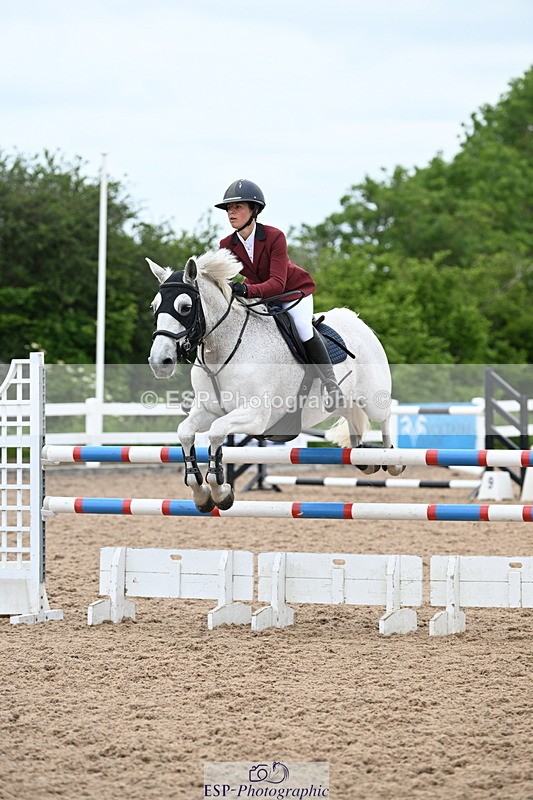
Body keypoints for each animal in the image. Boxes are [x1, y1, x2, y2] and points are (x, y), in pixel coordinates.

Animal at [147, 248, 403, 513]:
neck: (222, 352)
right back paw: (363, 458)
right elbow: (185, 432)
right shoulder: (209, 409)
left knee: (384, 418)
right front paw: (201, 494)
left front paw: (220, 491)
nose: (159, 361)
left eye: (185, 307)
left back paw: (391, 460)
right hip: (344, 403)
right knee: (352, 417)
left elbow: (217, 433)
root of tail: (358, 322)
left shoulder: (257, 415)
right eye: (154, 306)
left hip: (373, 399)